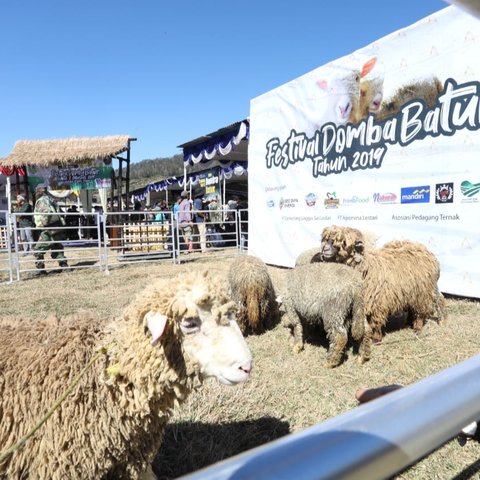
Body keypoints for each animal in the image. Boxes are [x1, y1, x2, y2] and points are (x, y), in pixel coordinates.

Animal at [320, 225, 448, 342]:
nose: (325, 249)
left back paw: (419, 327)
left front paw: (376, 338)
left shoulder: (378, 302)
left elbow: (376, 320)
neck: (366, 267)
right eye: (326, 239)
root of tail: (425, 250)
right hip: (413, 291)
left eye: (344, 243)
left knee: (422, 310)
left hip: (421, 293)